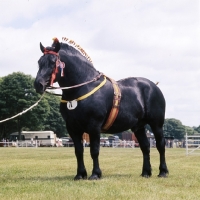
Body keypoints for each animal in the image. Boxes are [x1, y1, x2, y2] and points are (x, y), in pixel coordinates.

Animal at [34, 37, 169, 180]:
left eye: (53, 62)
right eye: (39, 62)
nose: (38, 84)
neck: (81, 88)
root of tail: (153, 86)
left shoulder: (94, 126)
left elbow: (94, 151)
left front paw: (95, 174)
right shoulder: (72, 128)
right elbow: (78, 151)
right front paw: (80, 174)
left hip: (156, 124)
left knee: (160, 145)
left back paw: (163, 172)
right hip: (138, 126)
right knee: (145, 147)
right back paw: (146, 172)